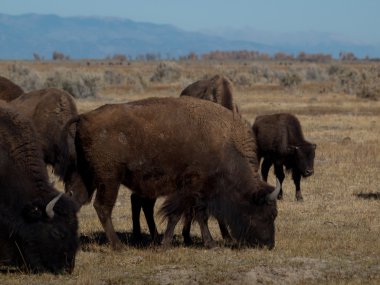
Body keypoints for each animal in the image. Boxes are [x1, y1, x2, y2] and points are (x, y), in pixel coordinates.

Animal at [67, 97, 280, 248]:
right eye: (266, 214)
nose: (268, 244)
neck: (224, 144)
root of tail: (85, 117)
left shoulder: (198, 193)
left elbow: (198, 216)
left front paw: (207, 243)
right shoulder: (191, 190)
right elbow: (178, 215)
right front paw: (167, 244)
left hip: (89, 177)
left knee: (76, 202)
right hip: (109, 179)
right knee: (103, 207)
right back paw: (119, 246)